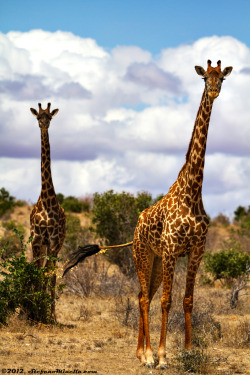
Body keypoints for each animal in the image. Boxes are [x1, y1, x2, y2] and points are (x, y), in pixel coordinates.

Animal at [62, 60, 232, 368]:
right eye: (204, 77)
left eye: (222, 78)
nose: (214, 91)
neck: (192, 193)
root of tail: (135, 231)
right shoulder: (172, 250)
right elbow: (167, 301)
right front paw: (163, 357)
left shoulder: (196, 251)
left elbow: (188, 300)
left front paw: (188, 351)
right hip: (143, 255)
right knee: (144, 299)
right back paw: (149, 356)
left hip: (153, 260)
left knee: (144, 295)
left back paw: (140, 352)